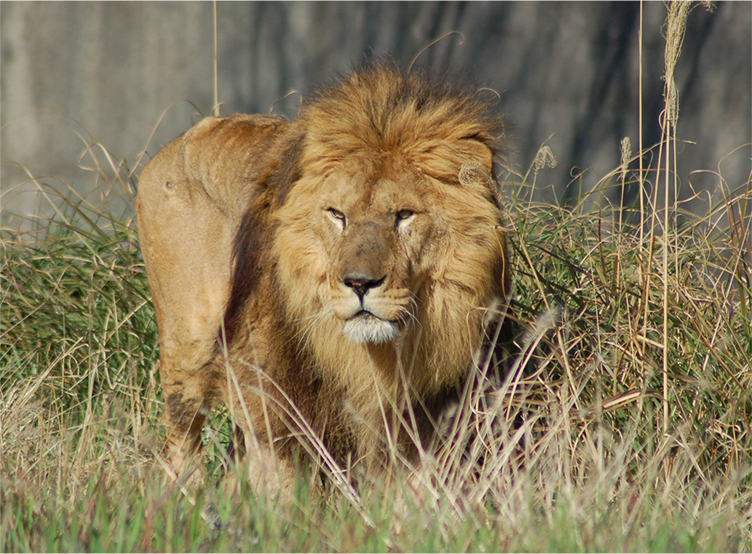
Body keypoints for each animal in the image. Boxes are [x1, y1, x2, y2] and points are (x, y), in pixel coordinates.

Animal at [135, 61, 512, 492]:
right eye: (337, 214)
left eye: (404, 215)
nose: (359, 283)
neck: (363, 358)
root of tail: (170, 147)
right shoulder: (273, 395)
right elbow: (283, 486)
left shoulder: (421, 420)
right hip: (187, 350)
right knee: (182, 444)